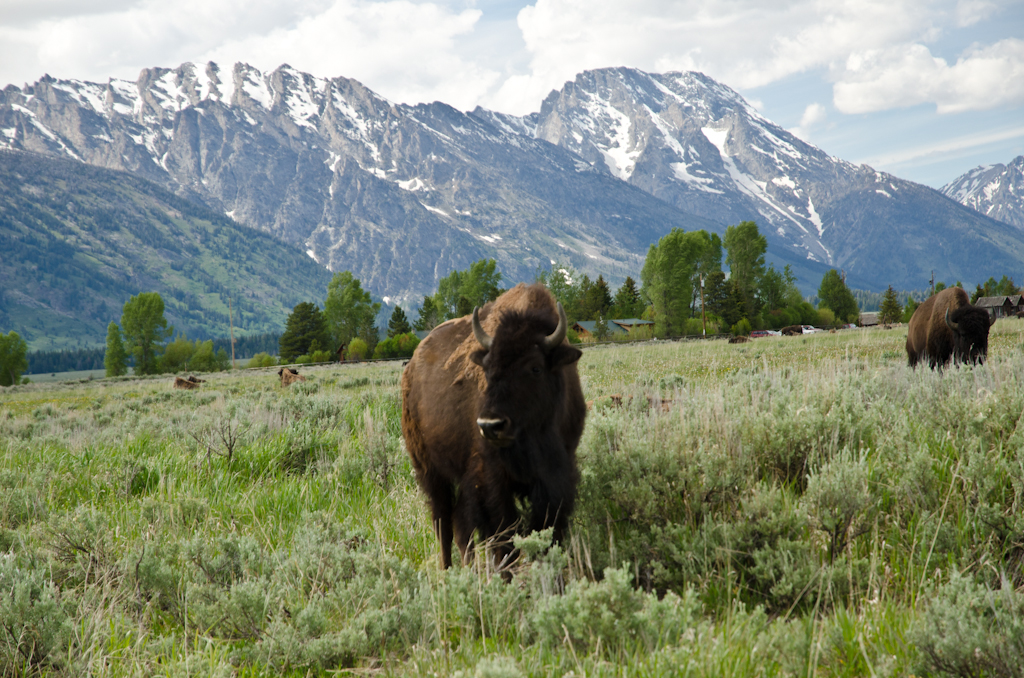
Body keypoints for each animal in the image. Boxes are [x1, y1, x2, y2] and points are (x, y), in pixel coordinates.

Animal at [403, 282, 589, 573]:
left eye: (536, 368)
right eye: (488, 369)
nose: (490, 425)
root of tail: (411, 366)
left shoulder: (557, 476)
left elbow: (548, 532)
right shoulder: (492, 479)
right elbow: (504, 538)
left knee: (459, 524)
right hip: (429, 470)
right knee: (443, 522)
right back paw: (447, 571)